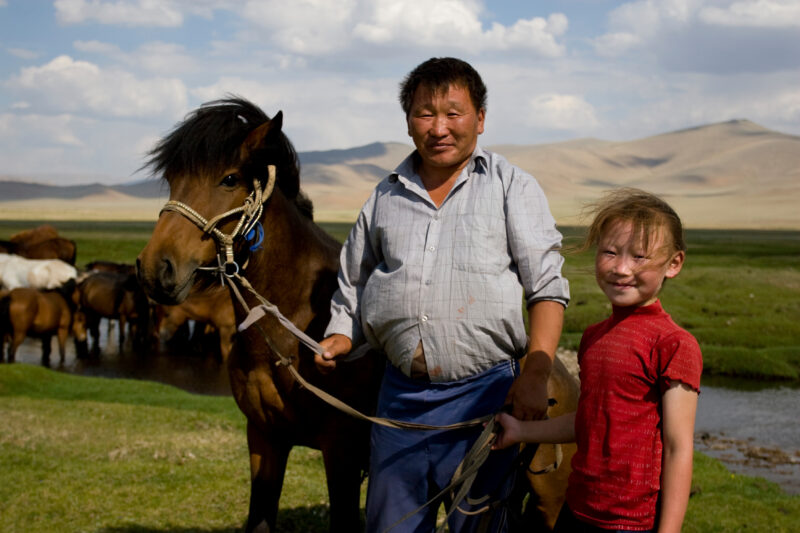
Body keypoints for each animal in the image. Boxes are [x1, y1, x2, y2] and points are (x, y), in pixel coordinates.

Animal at [136, 97, 385, 533]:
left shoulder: (341, 448)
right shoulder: (265, 437)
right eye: (171, 178)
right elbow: (260, 517)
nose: (156, 268)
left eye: (229, 179)